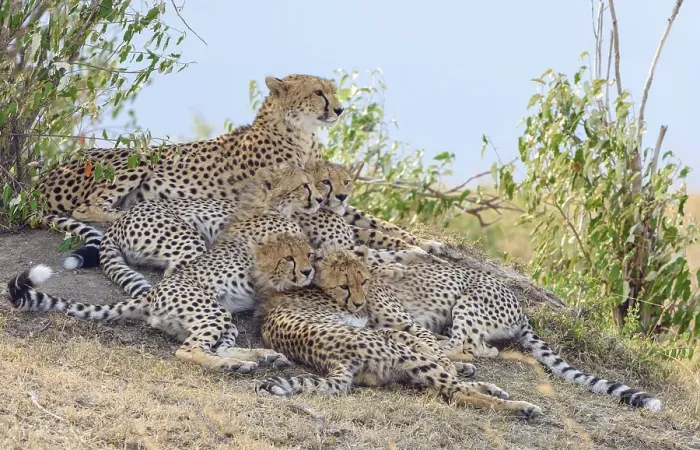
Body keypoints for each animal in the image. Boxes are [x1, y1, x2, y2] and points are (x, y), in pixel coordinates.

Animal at [7, 232, 315, 373]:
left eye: (309, 254)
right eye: (289, 257)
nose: (308, 271)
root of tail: (152, 292)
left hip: (221, 317)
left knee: (219, 347)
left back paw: (258, 357)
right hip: (213, 312)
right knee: (188, 350)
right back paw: (231, 365)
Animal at [35, 74, 342, 243]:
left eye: (333, 91)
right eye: (318, 92)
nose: (340, 109)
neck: (301, 132)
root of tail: (44, 177)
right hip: (142, 156)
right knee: (84, 208)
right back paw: (125, 212)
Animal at [254, 247, 542, 419]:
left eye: (363, 281)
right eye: (344, 286)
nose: (358, 302)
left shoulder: (386, 326)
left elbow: (423, 341)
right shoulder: (379, 329)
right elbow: (425, 345)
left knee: (459, 363)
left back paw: (492, 387)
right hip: (406, 357)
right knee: (457, 386)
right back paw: (521, 406)